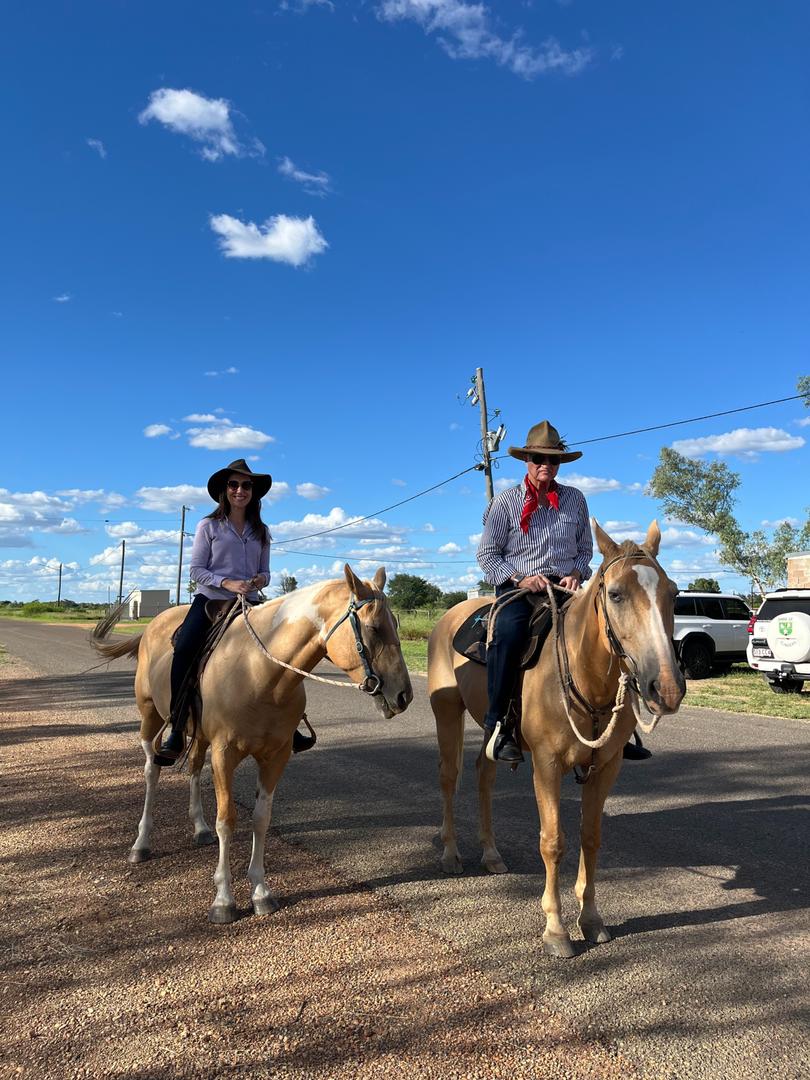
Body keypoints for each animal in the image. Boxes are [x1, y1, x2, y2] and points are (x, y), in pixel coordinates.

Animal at [94, 565, 412, 920]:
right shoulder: (224, 754)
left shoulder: (276, 756)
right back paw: (141, 844)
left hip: (197, 735)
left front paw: (261, 891)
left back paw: (199, 828)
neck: (258, 672)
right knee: (152, 772)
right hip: (150, 718)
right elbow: (227, 820)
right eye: (373, 628)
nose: (404, 695)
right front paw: (223, 900)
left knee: (193, 769)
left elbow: (261, 819)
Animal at [427, 520, 686, 954]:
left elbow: (590, 837)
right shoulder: (546, 765)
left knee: (484, 774)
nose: (665, 688)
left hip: (491, 732)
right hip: (446, 712)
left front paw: (591, 918)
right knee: (448, 778)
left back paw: (491, 854)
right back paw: (451, 854)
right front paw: (555, 928)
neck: (583, 676)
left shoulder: (605, 768)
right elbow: (553, 841)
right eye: (615, 594)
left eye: (673, 593)